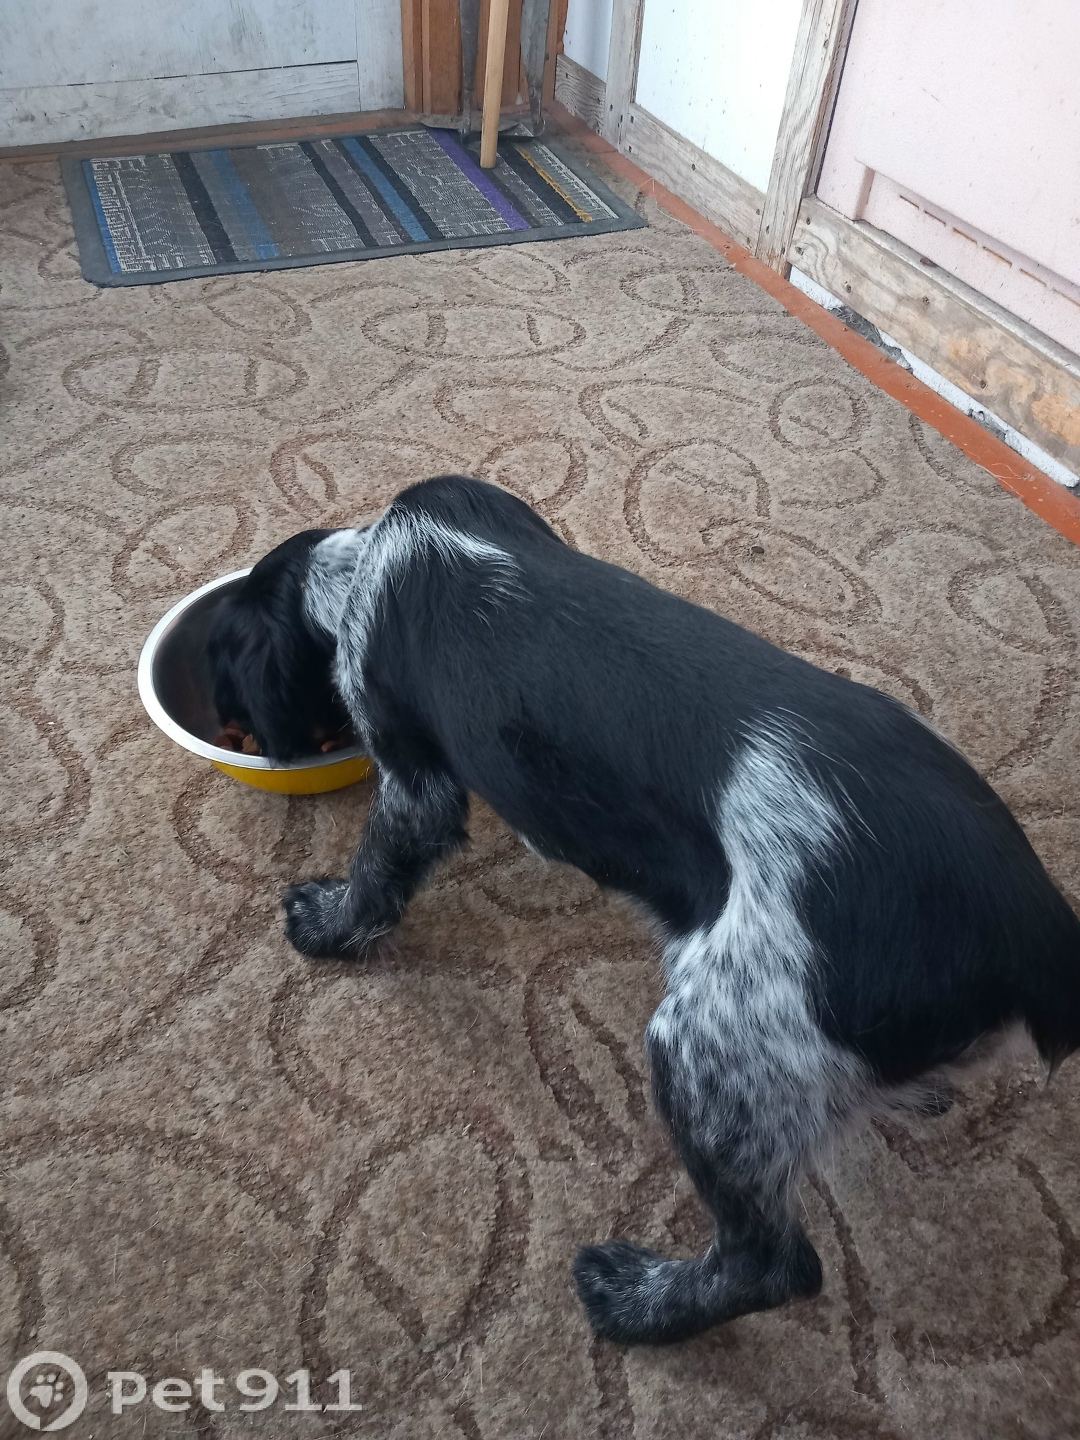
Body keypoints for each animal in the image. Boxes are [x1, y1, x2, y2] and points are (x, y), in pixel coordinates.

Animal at [207, 474, 1080, 1345]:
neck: (365, 561)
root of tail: (1039, 939)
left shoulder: (414, 782)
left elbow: (375, 872)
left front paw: (325, 925)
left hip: (708, 1047)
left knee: (771, 1266)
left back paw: (635, 1302)